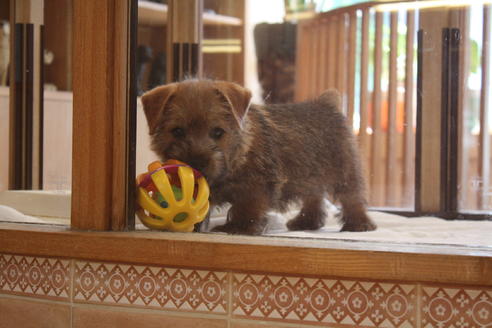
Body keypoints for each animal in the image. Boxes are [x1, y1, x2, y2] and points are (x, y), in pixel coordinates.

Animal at [142, 79, 376, 234]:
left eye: (217, 132)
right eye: (177, 131)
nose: (196, 164)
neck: (239, 154)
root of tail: (326, 104)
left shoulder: (256, 184)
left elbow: (247, 205)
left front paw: (238, 227)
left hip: (345, 169)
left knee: (352, 196)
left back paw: (359, 224)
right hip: (310, 175)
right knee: (314, 196)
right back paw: (306, 222)